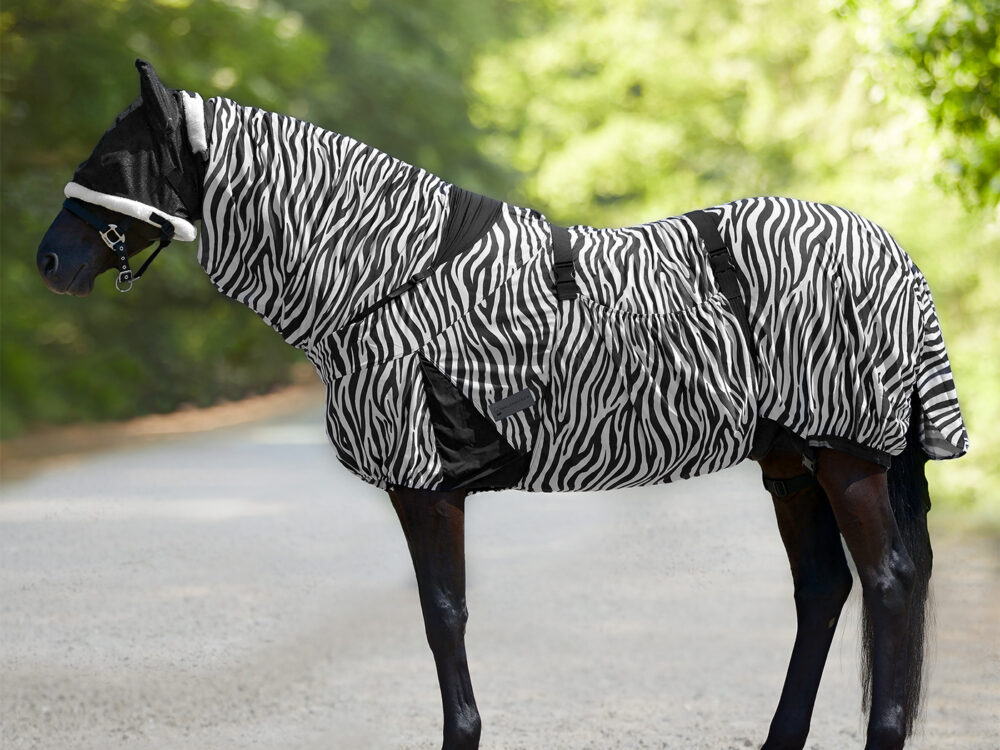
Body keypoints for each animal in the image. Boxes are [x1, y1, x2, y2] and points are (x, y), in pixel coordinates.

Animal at [37, 60, 967, 750]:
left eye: (114, 163)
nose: (49, 261)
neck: (386, 276)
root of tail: (893, 252)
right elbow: (443, 616)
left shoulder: (424, 482)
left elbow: (443, 617)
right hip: (791, 463)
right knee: (824, 590)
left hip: (847, 458)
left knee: (888, 585)